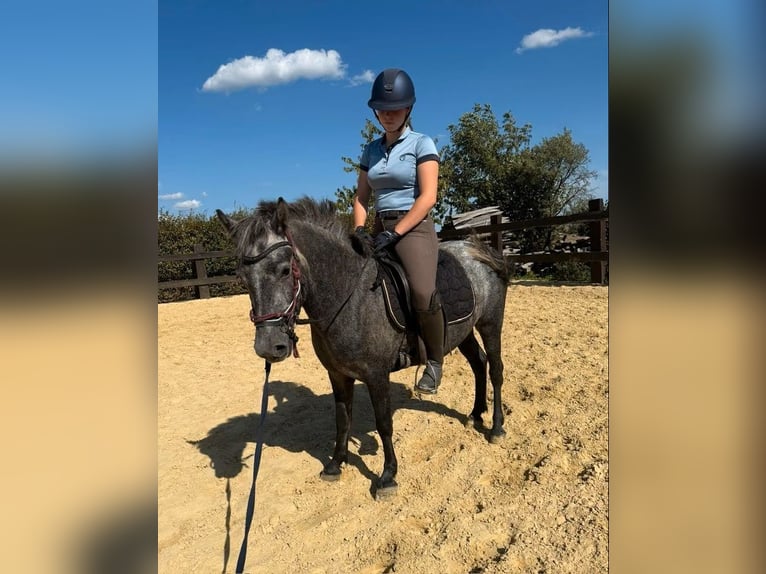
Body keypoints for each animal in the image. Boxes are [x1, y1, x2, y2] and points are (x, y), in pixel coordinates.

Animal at [216, 196, 509, 497]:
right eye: (243, 278)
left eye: (285, 270)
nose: (268, 347)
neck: (348, 297)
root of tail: (475, 248)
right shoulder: (338, 374)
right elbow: (342, 419)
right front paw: (335, 464)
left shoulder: (376, 375)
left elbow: (384, 423)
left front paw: (388, 476)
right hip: (463, 332)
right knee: (479, 364)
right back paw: (476, 414)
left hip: (490, 323)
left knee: (495, 369)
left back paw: (496, 428)